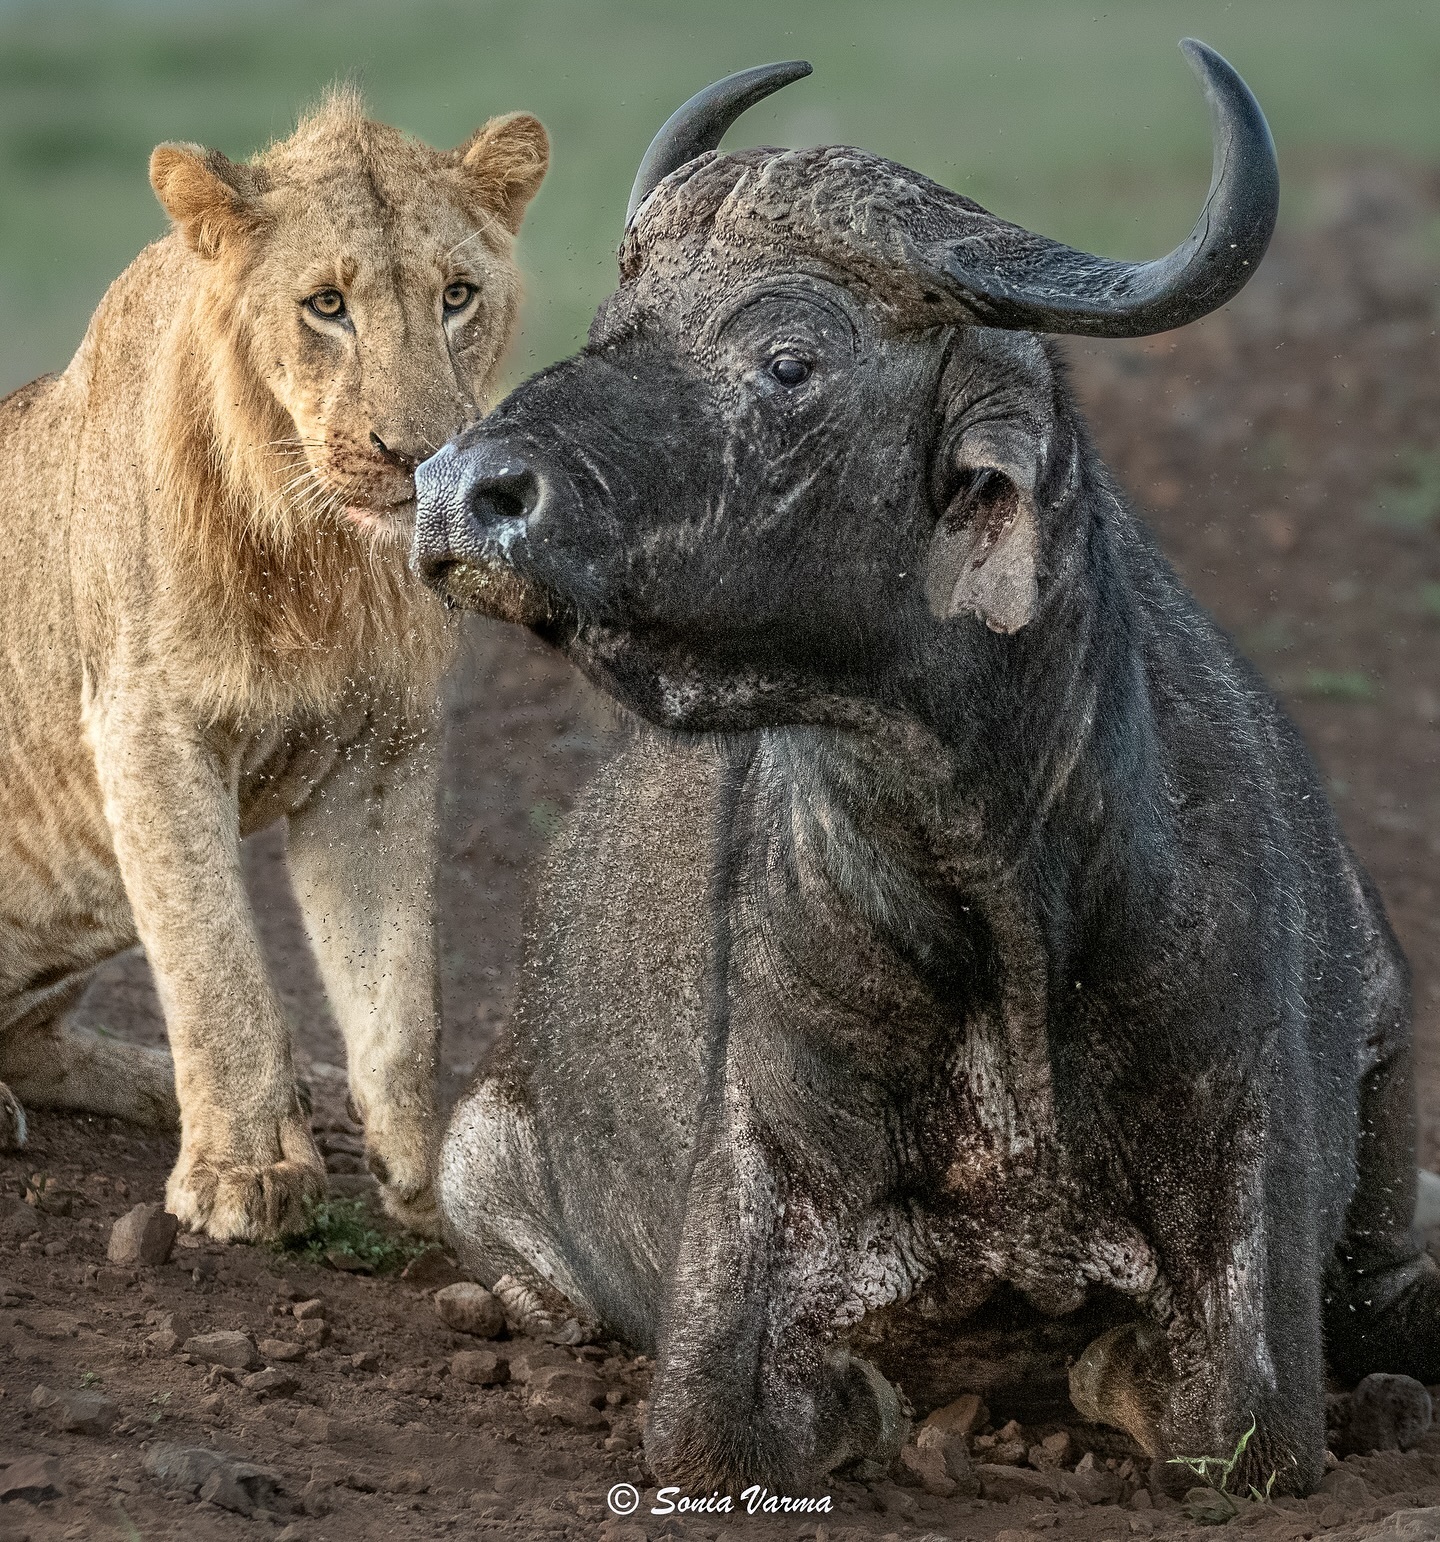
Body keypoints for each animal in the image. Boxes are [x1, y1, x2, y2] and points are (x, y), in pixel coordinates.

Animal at [0, 90, 548, 1239]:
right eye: (327, 306)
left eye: (458, 297)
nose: (418, 458)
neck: (320, 559)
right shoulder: (145, 728)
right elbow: (218, 968)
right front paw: (244, 1172)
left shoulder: (383, 750)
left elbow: (402, 996)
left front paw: (426, 1188)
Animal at [410, 48, 1436, 1492]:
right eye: (620, 318)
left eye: (789, 359)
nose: (459, 491)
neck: (1006, 898)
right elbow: (745, 1413)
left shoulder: (1256, 1257)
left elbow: (1217, 1412)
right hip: (474, 1163)